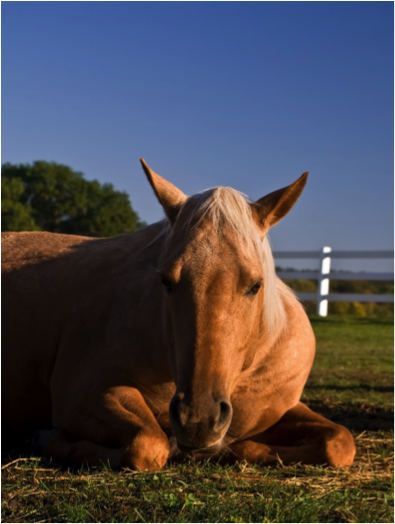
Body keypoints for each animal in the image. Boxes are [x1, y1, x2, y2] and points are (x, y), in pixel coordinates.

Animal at [0, 158, 358, 468]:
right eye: (166, 281)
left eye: (256, 285)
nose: (198, 419)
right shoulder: (82, 394)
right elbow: (148, 445)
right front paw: (45, 438)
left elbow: (339, 442)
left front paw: (242, 449)